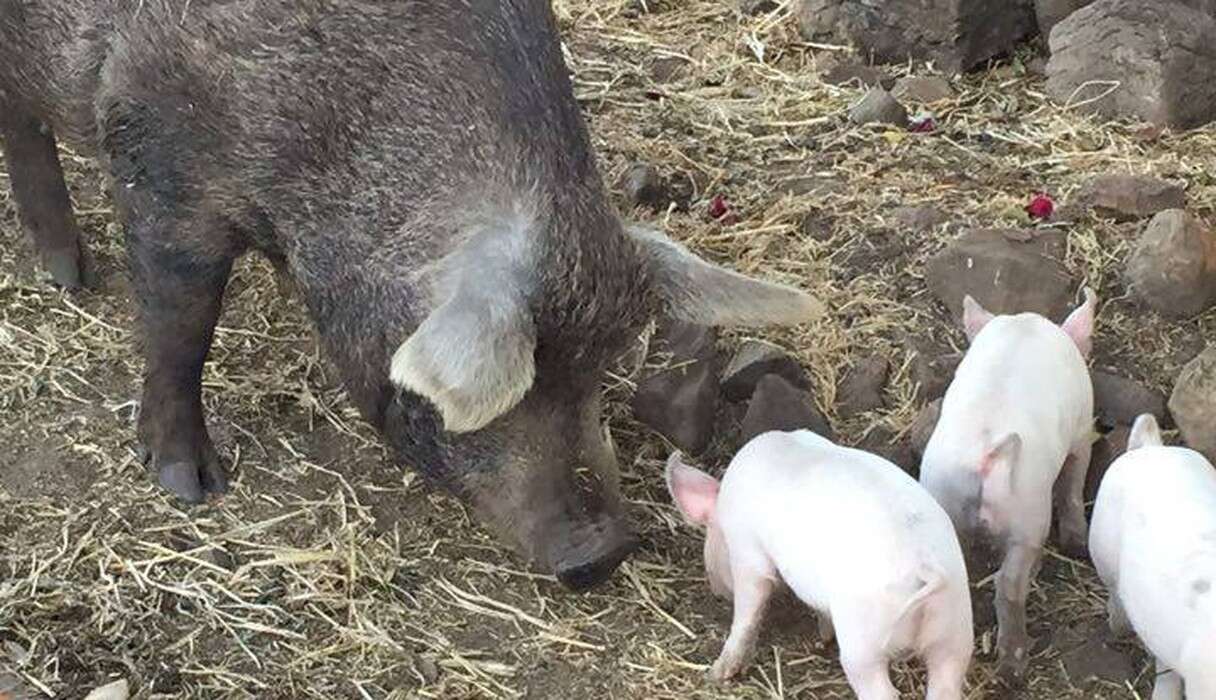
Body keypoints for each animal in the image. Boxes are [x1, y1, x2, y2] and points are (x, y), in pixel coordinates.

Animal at [2, 0, 826, 590]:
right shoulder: (161, 162)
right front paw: (192, 487)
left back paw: (66, 273)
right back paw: (70, 277)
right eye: (524, 374)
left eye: (599, 367)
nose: (608, 549)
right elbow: (182, 322)